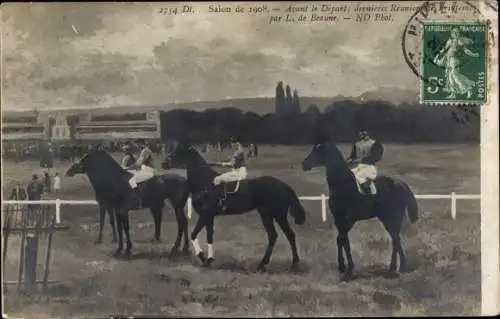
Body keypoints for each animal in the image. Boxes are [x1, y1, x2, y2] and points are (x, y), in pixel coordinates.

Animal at [162, 142, 306, 272]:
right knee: (273, 236)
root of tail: (285, 186)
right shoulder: (209, 217)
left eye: (178, 151)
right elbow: (209, 237)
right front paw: (209, 260)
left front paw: (204, 258)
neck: (205, 184)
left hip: (279, 215)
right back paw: (262, 264)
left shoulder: (205, 215)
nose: (164, 163)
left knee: (289, 235)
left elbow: (193, 235)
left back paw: (294, 264)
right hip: (266, 214)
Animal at [298, 139, 420, 280]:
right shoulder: (339, 219)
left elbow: (345, 241)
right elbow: (340, 240)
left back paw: (394, 269)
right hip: (388, 219)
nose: (304, 164)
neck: (343, 185)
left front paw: (348, 271)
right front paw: (342, 266)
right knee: (396, 239)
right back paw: (400, 267)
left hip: (391, 218)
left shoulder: (347, 219)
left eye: (318, 150)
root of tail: (399, 183)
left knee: (395, 240)